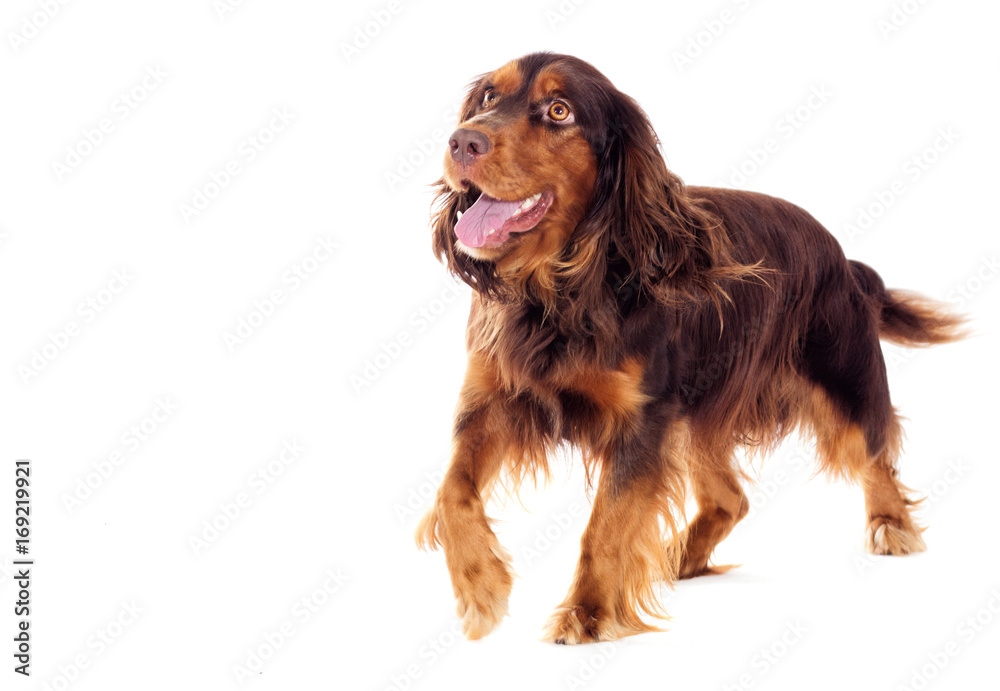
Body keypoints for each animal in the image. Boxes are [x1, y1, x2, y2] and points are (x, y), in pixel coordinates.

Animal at [412, 51, 960, 648]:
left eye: (559, 111)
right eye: (489, 96)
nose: (463, 141)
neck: (556, 289)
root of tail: (842, 256)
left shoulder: (641, 420)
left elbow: (605, 526)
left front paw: (586, 613)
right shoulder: (491, 401)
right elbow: (451, 491)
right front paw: (480, 587)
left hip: (838, 382)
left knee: (874, 450)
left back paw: (892, 526)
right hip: (694, 419)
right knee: (729, 498)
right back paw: (675, 557)